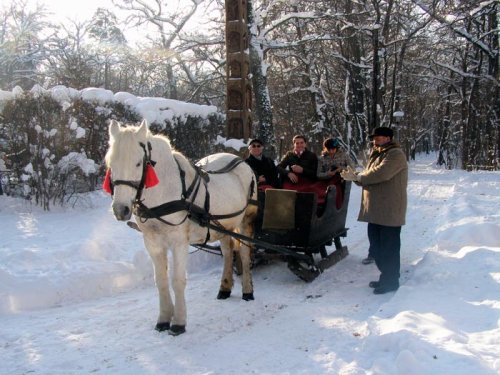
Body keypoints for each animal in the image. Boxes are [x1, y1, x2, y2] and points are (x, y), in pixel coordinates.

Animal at [103, 119, 256, 334]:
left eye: (138, 163)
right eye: (111, 164)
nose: (120, 209)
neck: (164, 192)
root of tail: (239, 160)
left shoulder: (179, 242)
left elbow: (177, 280)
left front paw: (179, 322)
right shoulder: (153, 243)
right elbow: (161, 281)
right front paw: (163, 319)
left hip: (245, 220)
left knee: (243, 253)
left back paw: (248, 291)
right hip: (223, 224)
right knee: (227, 252)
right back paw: (225, 287)